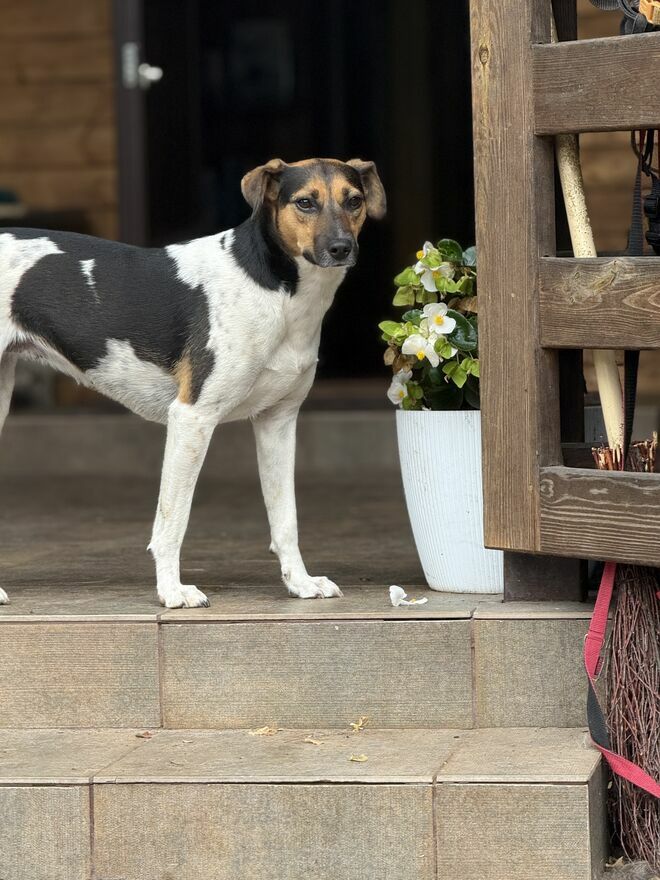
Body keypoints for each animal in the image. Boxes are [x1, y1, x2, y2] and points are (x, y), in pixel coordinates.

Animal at [0, 158, 386, 608]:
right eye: (305, 202)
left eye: (354, 200)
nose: (342, 248)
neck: (279, 292)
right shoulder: (191, 419)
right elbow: (173, 521)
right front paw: (171, 591)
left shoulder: (277, 423)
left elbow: (285, 519)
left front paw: (301, 583)